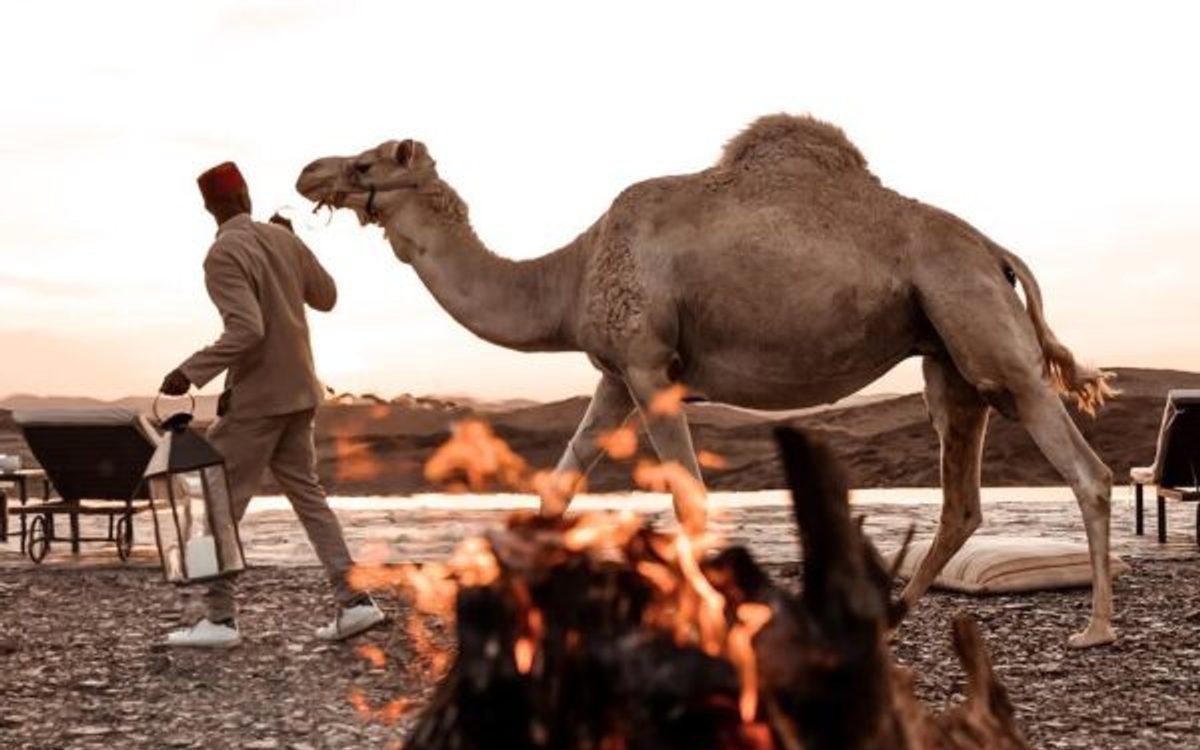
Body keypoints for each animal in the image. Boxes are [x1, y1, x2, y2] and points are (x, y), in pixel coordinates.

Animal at [295, 114, 1118, 648]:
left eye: (368, 163)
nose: (308, 170)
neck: (570, 274)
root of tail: (993, 249)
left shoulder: (650, 368)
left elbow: (690, 504)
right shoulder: (614, 376)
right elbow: (556, 490)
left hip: (978, 324)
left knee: (1085, 469)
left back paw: (1096, 628)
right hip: (946, 352)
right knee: (961, 497)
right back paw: (887, 618)